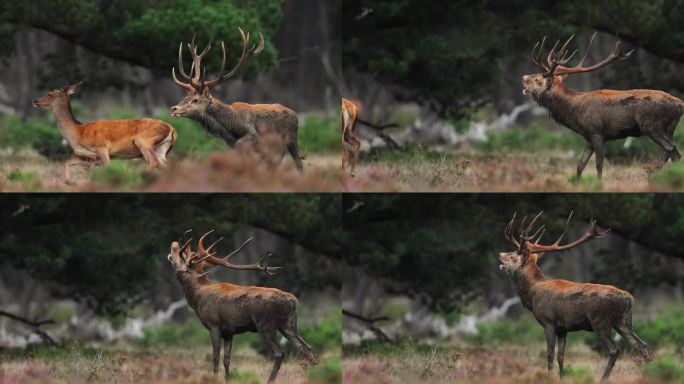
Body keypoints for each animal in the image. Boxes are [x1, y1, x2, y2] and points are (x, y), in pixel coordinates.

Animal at [32, 82, 176, 181]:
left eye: (50, 93)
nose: (35, 100)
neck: (77, 133)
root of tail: (172, 129)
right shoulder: (86, 157)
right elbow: (68, 163)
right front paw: (70, 182)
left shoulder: (102, 147)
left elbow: (107, 168)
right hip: (161, 150)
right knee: (167, 167)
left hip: (143, 141)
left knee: (154, 162)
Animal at [166, 230, 316, 382]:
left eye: (180, 256)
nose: (173, 245)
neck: (197, 297)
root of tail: (293, 301)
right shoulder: (229, 332)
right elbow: (227, 359)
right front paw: (227, 380)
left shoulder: (214, 325)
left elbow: (215, 357)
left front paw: (214, 378)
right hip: (289, 324)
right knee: (307, 348)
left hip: (265, 325)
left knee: (280, 353)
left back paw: (271, 380)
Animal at [496, 212, 652, 380]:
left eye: (513, 256)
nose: (500, 254)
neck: (532, 295)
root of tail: (629, 299)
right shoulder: (563, 328)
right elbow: (561, 356)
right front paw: (561, 378)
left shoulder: (548, 322)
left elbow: (550, 354)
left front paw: (549, 377)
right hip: (623, 322)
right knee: (641, 344)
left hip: (601, 321)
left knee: (614, 349)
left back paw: (604, 378)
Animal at [524, 33, 680, 178]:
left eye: (537, 79)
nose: (523, 78)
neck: (574, 112)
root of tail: (680, 105)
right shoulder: (588, 137)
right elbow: (580, 165)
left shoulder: (597, 132)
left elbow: (599, 163)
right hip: (669, 129)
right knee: (676, 154)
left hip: (652, 126)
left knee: (670, 148)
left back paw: (652, 169)